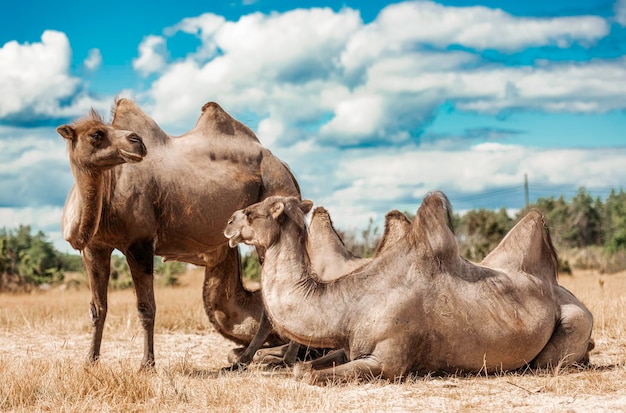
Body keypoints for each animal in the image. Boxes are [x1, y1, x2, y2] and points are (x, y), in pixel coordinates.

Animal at [58, 99, 300, 366]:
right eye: (96, 134)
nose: (137, 141)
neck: (110, 186)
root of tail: (285, 167)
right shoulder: (94, 248)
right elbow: (97, 308)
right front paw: (89, 361)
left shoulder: (140, 243)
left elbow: (146, 308)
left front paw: (147, 365)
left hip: (273, 198)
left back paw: (266, 359)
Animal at [223, 192, 588, 382]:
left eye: (253, 212)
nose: (228, 222)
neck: (349, 303)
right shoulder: (350, 346)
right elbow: (306, 365)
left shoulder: (389, 360)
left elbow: (305, 373)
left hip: (573, 323)